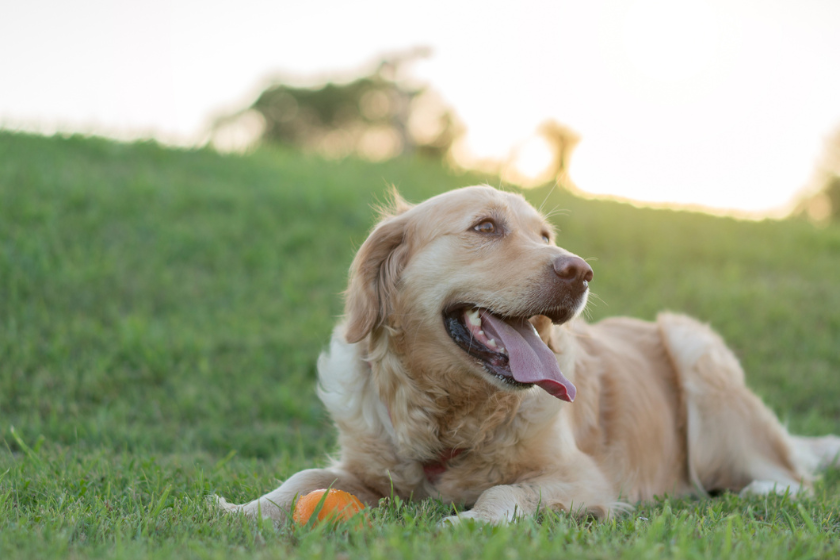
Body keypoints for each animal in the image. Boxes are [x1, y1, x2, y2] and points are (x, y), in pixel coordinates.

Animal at [218, 186, 840, 524]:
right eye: (485, 227)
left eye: (545, 237)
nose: (580, 271)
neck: (450, 413)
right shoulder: (366, 465)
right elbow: (304, 477)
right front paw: (243, 510)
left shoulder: (585, 477)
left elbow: (502, 490)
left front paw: (471, 524)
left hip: (694, 350)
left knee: (788, 477)